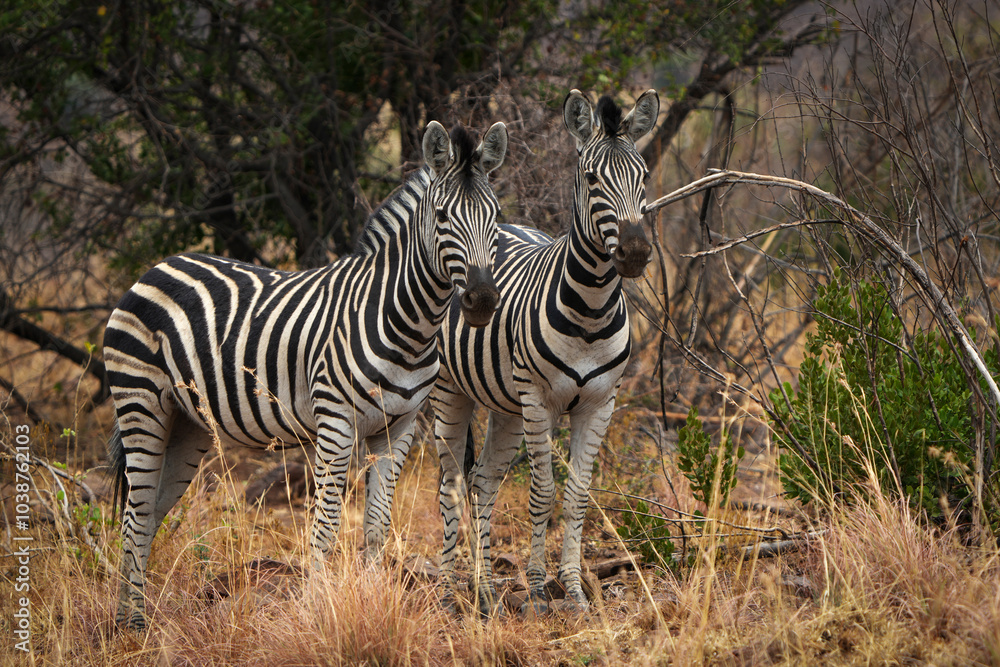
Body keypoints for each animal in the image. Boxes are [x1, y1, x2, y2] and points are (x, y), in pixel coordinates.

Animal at [104, 120, 508, 630]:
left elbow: (376, 526)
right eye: (440, 217)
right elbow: (327, 525)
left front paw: (371, 605)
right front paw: (318, 609)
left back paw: (132, 616)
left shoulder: (397, 428)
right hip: (141, 405)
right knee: (134, 514)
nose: (481, 300)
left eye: (496, 217)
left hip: (187, 424)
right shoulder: (334, 425)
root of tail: (155, 267)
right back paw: (132, 625)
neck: (405, 323)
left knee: (150, 512)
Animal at [431, 90, 659, 615]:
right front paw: (536, 589)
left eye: (644, 176)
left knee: (483, 482)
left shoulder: (600, 403)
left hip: (506, 407)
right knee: (451, 485)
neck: (590, 311)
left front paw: (572, 589)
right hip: (450, 393)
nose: (635, 253)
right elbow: (542, 492)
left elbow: (576, 496)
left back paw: (484, 588)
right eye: (592, 178)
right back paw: (449, 589)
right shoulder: (539, 400)